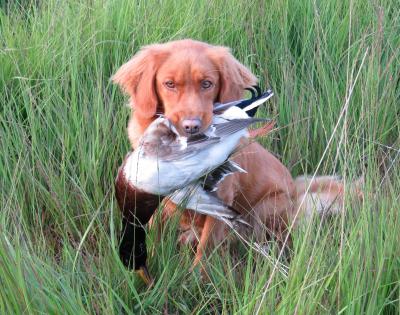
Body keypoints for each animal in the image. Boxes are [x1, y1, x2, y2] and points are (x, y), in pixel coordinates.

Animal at [111, 39, 356, 272]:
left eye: (207, 83)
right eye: (169, 84)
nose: (192, 127)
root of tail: (296, 192)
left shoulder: (219, 198)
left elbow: (205, 251)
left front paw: (195, 281)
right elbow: (155, 234)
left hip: (262, 210)